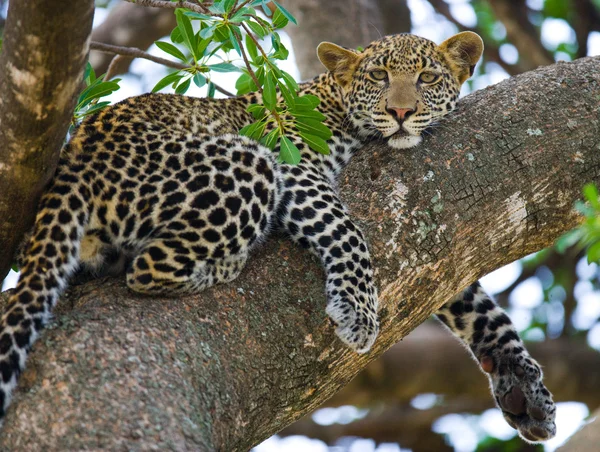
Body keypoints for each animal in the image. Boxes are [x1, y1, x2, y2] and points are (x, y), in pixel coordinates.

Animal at [1, 31, 556, 442]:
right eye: (378, 77)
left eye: (427, 78)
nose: (400, 113)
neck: (334, 98)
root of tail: (75, 159)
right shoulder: (295, 164)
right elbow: (345, 230)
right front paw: (359, 311)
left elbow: (473, 301)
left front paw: (525, 388)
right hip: (251, 162)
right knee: (147, 268)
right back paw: (226, 263)